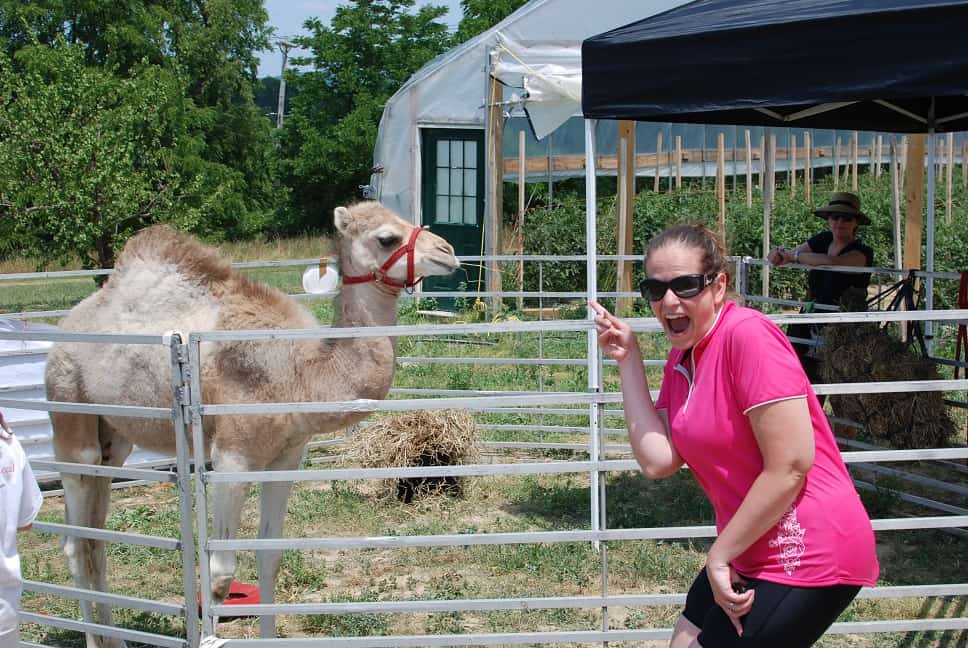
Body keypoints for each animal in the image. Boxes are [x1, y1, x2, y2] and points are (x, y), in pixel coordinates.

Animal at [47, 201, 464, 644]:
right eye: (386, 238)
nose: (448, 250)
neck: (300, 372)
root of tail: (67, 326)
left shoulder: (286, 456)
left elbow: (270, 556)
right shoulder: (232, 457)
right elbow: (219, 575)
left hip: (114, 438)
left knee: (96, 537)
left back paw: (116, 638)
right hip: (68, 409)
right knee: (75, 541)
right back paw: (93, 638)